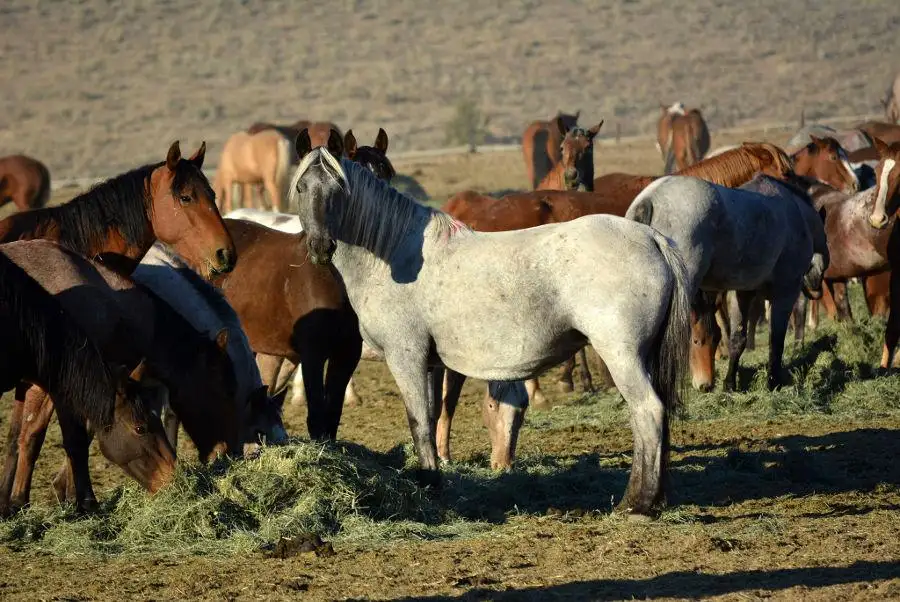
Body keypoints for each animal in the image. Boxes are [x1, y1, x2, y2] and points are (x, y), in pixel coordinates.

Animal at [290, 141, 691, 517]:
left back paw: (636, 504)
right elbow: (432, 417)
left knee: (648, 413)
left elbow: (418, 422)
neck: (394, 253)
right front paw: (435, 480)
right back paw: (654, 499)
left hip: (621, 355)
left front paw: (428, 485)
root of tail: (650, 237)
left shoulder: (406, 358)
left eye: (339, 188)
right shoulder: (431, 365)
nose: (320, 246)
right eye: (302, 187)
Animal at [627, 173, 829, 392]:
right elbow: (776, 340)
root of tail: (649, 200)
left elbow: (737, 339)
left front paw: (730, 384)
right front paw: (773, 382)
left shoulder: (743, 292)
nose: (815, 280)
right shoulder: (785, 292)